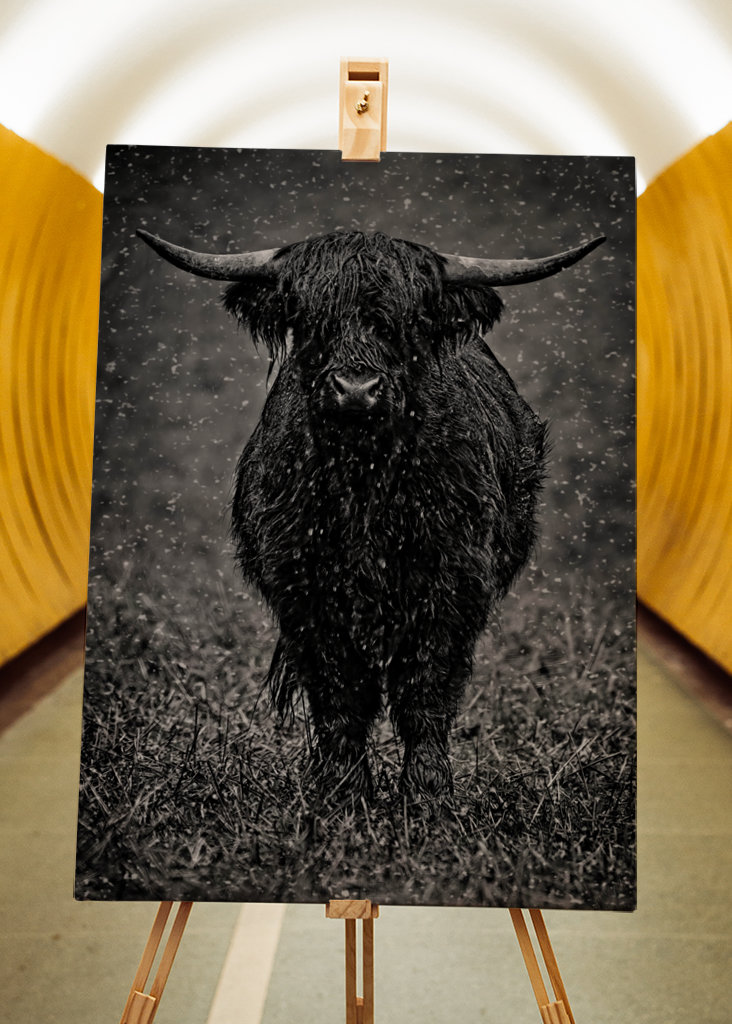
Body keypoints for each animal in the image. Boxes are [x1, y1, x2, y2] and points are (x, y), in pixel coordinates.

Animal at [137, 227, 604, 804]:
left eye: (408, 323)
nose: (355, 389)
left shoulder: (452, 583)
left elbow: (425, 687)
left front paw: (426, 792)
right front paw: (344, 790)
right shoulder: (305, 590)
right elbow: (340, 692)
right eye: (309, 318)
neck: (365, 481)